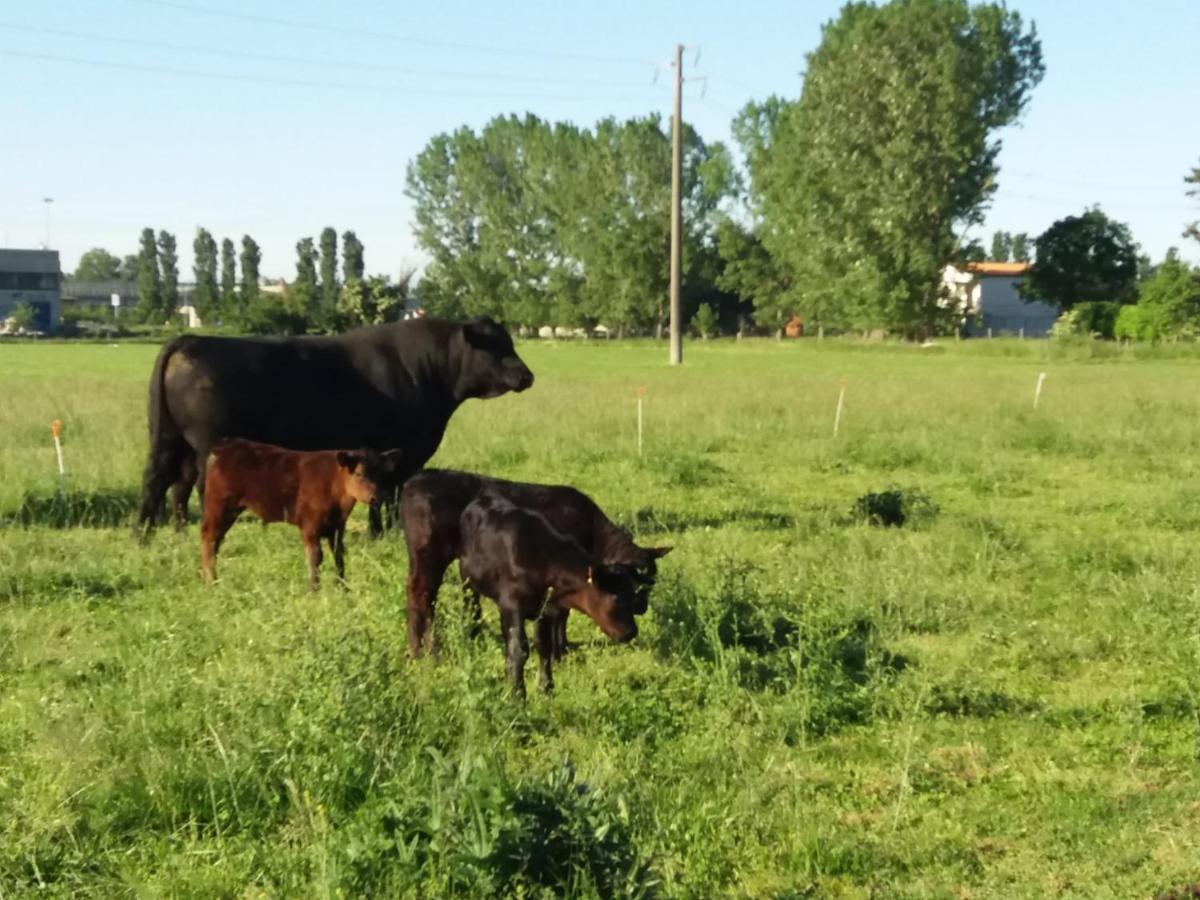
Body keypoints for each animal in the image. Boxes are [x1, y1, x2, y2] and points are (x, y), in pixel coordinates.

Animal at [133, 321, 532, 540]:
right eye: (498, 346)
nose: (527, 375)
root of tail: (189, 339)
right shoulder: (399, 452)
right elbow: (388, 496)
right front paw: (386, 533)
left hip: (169, 440)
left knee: (160, 482)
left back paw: (146, 535)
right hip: (208, 445)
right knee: (196, 487)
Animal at [199, 439, 400, 592]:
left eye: (382, 475)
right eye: (358, 473)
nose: (376, 497)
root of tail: (223, 447)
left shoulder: (337, 527)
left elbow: (339, 554)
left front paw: (344, 586)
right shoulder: (310, 526)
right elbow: (315, 557)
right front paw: (314, 589)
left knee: (216, 540)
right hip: (219, 506)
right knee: (209, 538)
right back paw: (211, 582)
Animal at [400, 472, 667, 657]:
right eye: (637, 585)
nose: (642, 608)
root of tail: (416, 480)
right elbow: (563, 614)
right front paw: (562, 649)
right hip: (429, 556)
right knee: (421, 596)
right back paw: (425, 652)